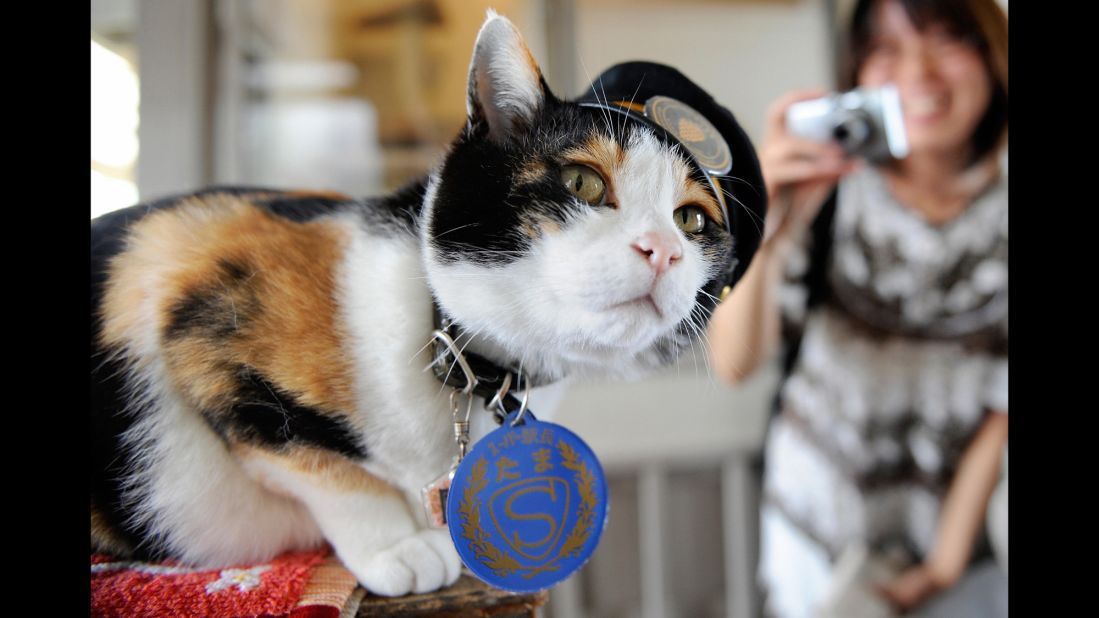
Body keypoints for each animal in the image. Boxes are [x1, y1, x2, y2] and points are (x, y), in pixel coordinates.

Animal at [90, 12, 764, 593]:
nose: (664, 250)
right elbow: (321, 461)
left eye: (691, 221)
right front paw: (400, 544)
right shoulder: (189, 277)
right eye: (583, 183)